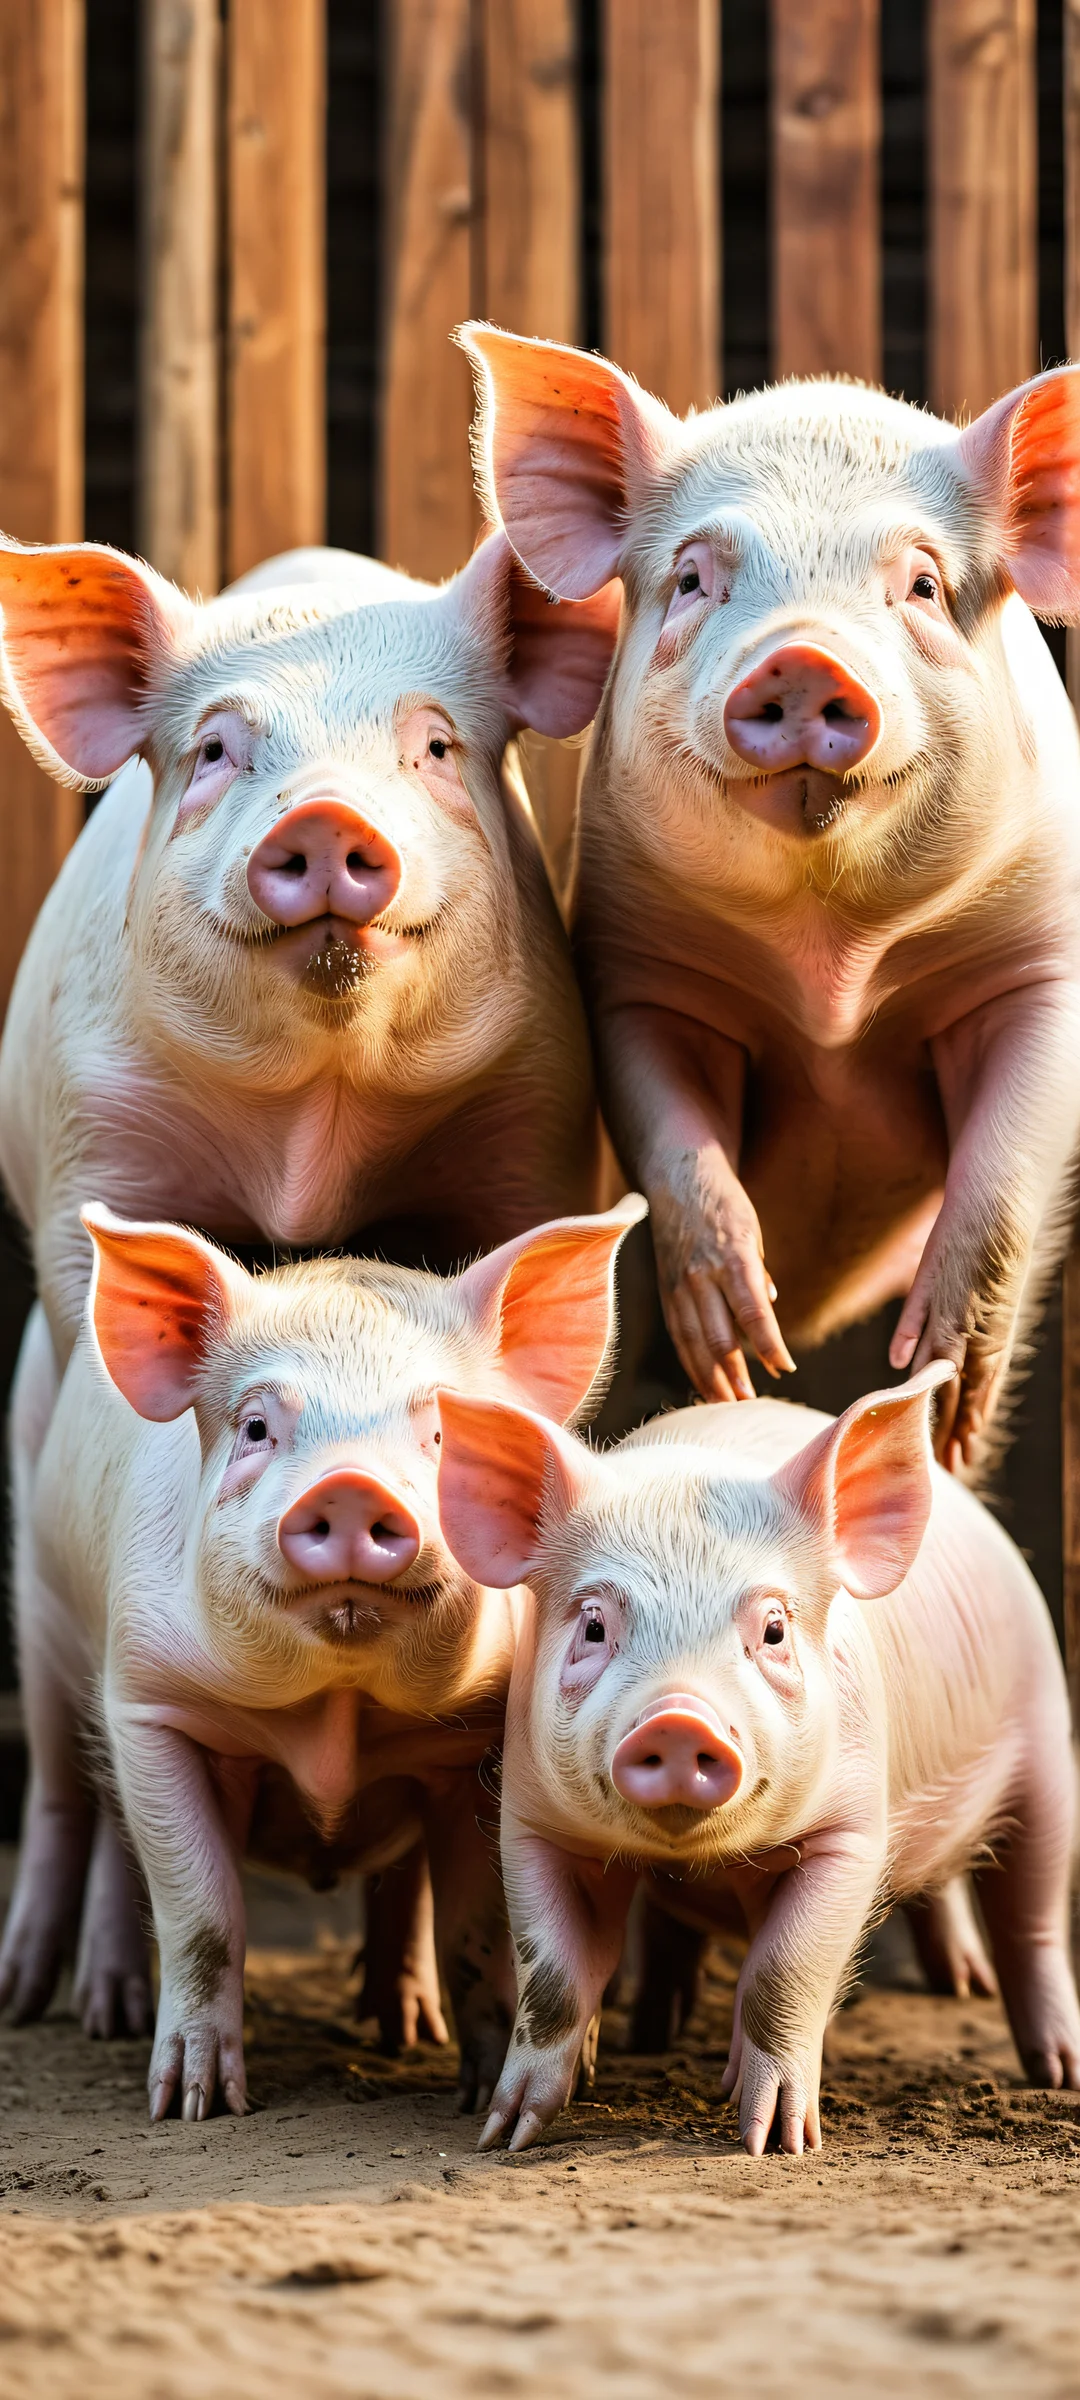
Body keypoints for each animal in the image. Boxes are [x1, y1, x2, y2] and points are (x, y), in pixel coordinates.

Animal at [0, 1194, 640, 2119]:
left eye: (442, 1433)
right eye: (257, 1426)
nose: (349, 1485)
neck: (339, 1714)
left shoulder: (479, 1746)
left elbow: (477, 1927)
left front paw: (478, 2093)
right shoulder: (150, 1703)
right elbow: (202, 1911)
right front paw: (195, 2106)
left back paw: (403, 2028)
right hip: (44, 1615)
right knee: (66, 1797)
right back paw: (59, 2006)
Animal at [435, 1362, 1080, 2155]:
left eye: (773, 1629)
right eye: (593, 1625)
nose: (679, 1719)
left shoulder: (852, 1831)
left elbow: (785, 1967)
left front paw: (776, 2143)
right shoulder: (531, 1819)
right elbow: (553, 1978)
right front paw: (504, 2133)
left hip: (1047, 1739)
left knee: (1033, 1912)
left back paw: (1049, 2063)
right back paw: (655, 2036)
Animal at [460, 327, 1080, 1475]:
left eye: (922, 584)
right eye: (693, 576)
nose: (800, 654)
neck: (829, 962)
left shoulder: (1038, 961)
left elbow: (1010, 1151)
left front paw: (935, 1379)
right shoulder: (641, 973)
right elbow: (673, 1137)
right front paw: (746, 1360)